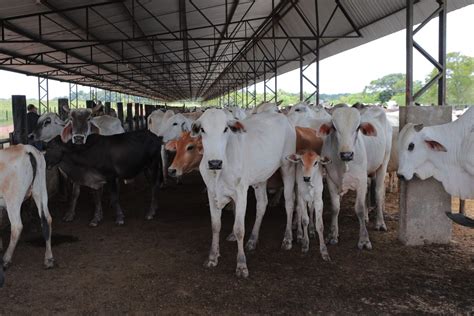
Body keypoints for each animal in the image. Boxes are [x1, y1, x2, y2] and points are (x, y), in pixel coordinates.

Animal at [0, 144, 54, 288]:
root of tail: (27, 149)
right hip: (40, 189)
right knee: (47, 220)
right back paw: (48, 259)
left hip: (13, 198)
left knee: (17, 226)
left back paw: (6, 260)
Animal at [190, 108, 294, 276]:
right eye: (202, 130)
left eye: (225, 129)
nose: (214, 163)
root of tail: (282, 116)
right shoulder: (212, 193)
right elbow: (215, 225)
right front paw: (212, 257)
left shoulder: (241, 192)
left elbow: (239, 229)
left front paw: (241, 264)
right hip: (260, 178)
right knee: (262, 204)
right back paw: (252, 240)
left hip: (288, 167)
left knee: (290, 203)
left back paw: (288, 239)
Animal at [314, 107, 392, 251]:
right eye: (334, 127)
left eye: (357, 128)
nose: (347, 154)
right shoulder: (331, 180)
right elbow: (335, 208)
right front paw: (333, 235)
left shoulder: (360, 181)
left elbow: (359, 209)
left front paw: (364, 240)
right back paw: (367, 217)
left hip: (384, 162)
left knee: (378, 192)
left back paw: (380, 223)